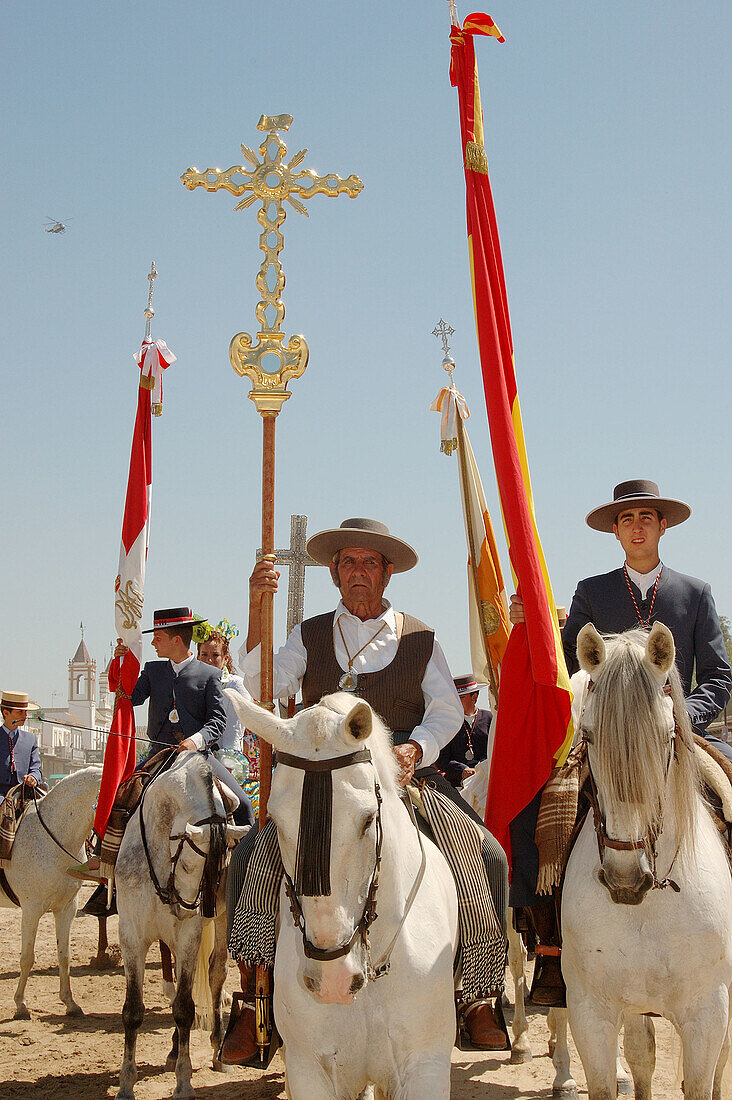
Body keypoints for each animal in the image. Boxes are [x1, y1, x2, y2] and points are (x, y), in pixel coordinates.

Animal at [0, 770, 101, 1016]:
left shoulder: (67, 908)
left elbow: (64, 956)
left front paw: (70, 1002)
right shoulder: (31, 909)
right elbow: (27, 957)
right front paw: (20, 1004)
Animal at [114, 752, 245, 1095]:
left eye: (222, 862)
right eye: (188, 863)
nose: (189, 908)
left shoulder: (188, 935)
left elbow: (185, 1008)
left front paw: (184, 1082)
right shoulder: (131, 935)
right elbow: (133, 1011)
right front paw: (126, 1084)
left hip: (219, 922)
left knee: (215, 973)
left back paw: (216, 1047)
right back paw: (174, 1050)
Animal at [561, 629, 726, 1100]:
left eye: (667, 734)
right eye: (589, 735)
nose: (624, 879)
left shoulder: (707, 1013)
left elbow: (702, 1082)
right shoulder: (591, 1012)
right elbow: (626, 1068)